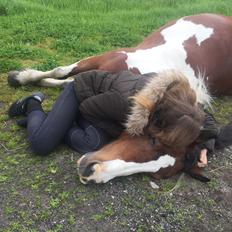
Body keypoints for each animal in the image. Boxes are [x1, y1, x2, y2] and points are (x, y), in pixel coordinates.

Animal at [7, 13, 232, 183]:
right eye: (153, 140)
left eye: (155, 174)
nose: (91, 173)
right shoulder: (107, 57)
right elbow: (61, 71)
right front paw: (20, 77)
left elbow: (68, 81)